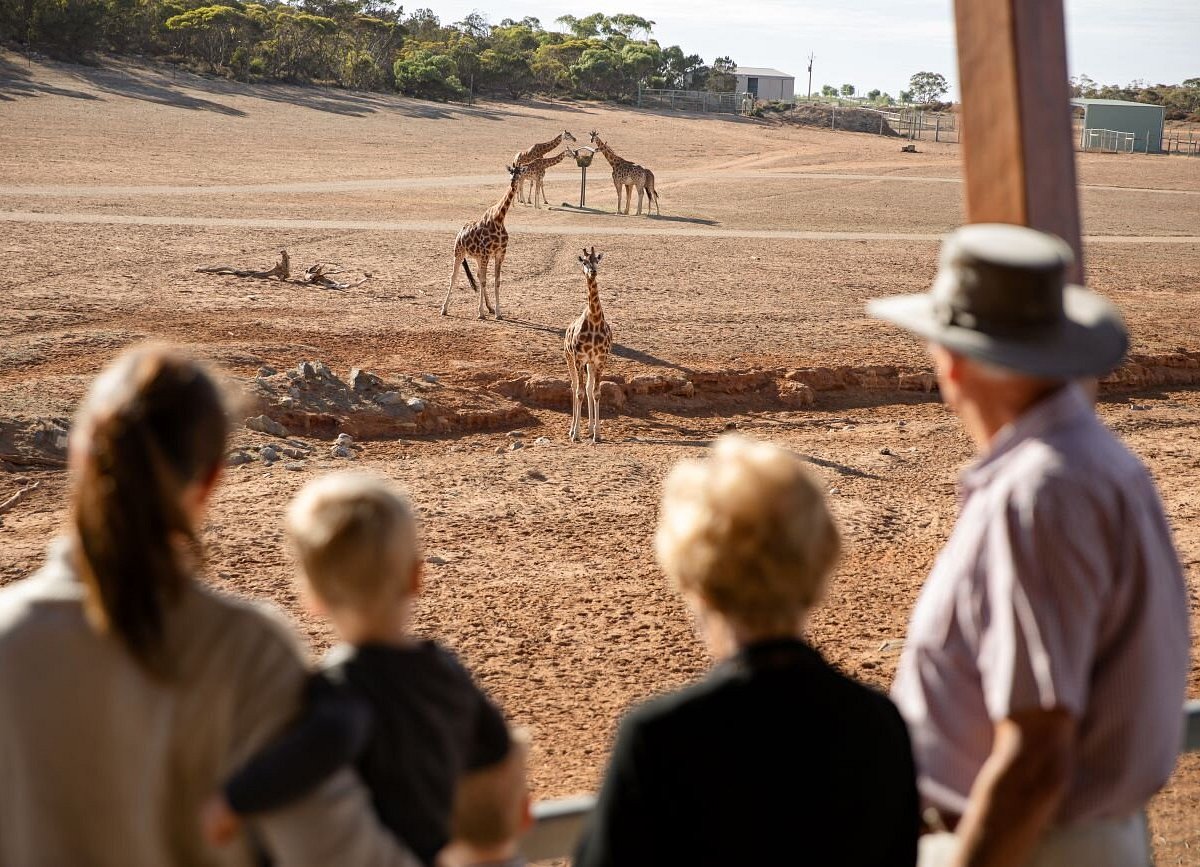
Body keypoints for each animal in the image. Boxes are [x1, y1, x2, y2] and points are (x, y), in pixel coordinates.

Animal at [441, 163, 525, 319]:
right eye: (511, 172)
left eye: (520, 173)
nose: (513, 182)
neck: (499, 219)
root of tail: (460, 232)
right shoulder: (487, 253)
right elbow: (485, 281)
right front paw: (480, 313)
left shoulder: (500, 254)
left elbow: (496, 281)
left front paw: (498, 312)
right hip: (459, 253)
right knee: (454, 276)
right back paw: (444, 309)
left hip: (478, 257)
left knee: (479, 276)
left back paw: (489, 308)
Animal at [564, 246, 614, 441]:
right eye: (584, 261)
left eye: (596, 260)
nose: (592, 272)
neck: (594, 320)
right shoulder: (579, 359)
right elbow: (579, 393)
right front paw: (576, 434)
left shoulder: (600, 360)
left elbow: (595, 392)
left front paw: (597, 434)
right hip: (569, 358)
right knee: (574, 387)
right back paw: (572, 430)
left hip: (590, 364)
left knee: (587, 387)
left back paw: (591, 428)